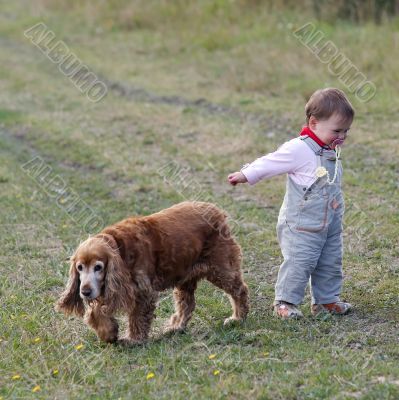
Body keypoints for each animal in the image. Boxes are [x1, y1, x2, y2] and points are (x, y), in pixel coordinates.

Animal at [56, 202, 250, 346]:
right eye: (80, 267)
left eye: (98, 267)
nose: (85, 292)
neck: (119, 248)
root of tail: (216, 210)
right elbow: (96, 312)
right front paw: (108, 333)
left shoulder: (142, 291)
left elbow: (137, 317)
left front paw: (134, 339)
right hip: (184, 277)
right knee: (187, 303)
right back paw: (176, 327)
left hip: (221, 268)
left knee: (240, 290)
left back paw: (238, 318)